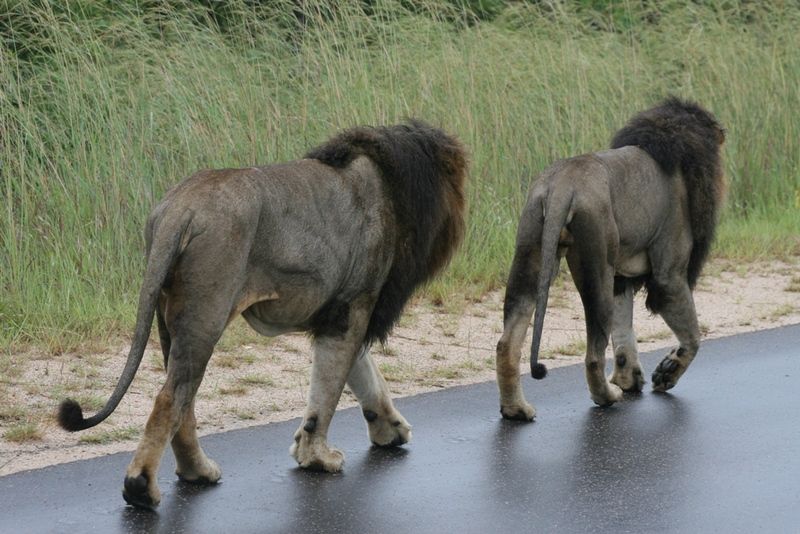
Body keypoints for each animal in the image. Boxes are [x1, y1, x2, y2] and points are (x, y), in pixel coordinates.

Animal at [57, 120, 467, 509]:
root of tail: (180, 208)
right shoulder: (354, 305)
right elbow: (329, 390)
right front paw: (317, 458)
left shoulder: (341, 310)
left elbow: (362, 376)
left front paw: (388, 429)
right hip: (207, 311)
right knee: (171, 399)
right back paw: (142, 488)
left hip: (169, 315)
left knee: (183, 401)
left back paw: (197, 472)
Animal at [496, 97, 726, 420]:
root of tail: (563, 185)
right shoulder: (669, 275)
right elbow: (693, 336)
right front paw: (667, 372)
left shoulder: (621, 278)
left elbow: (624, 330)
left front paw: (629, 378)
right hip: (597, 266)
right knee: (593, 354)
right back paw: (606, 397)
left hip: (530, 256)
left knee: (506, 344)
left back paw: (516, 409)